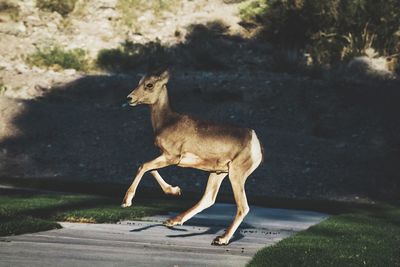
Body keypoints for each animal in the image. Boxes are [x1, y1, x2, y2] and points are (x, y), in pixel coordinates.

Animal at [123, 70, 264, 246]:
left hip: (236, 175)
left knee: (242, 206)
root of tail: (255, 142)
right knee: (208, 198)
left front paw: (126, 202)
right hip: (218, 173)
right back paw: (172, 221)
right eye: (139, 82)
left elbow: (144, 166)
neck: (167, 121)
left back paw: (221, 240)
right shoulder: (167, 157)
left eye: (149, 84)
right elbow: (149, 168)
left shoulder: (172, 157)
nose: (129, 98)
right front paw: (175, 191)